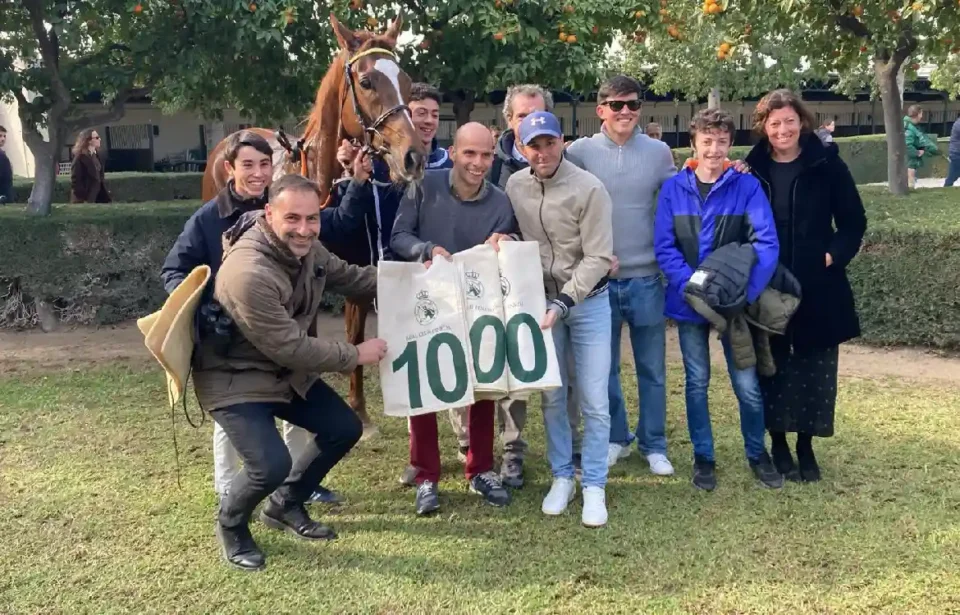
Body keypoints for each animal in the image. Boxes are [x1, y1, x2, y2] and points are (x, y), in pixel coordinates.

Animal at [202, 14, 424, 438]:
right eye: (367, 82)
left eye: (406, 80)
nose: (414, 156)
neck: (326, 188)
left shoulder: (354, 268)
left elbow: (355, 334)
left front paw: (360, 411)